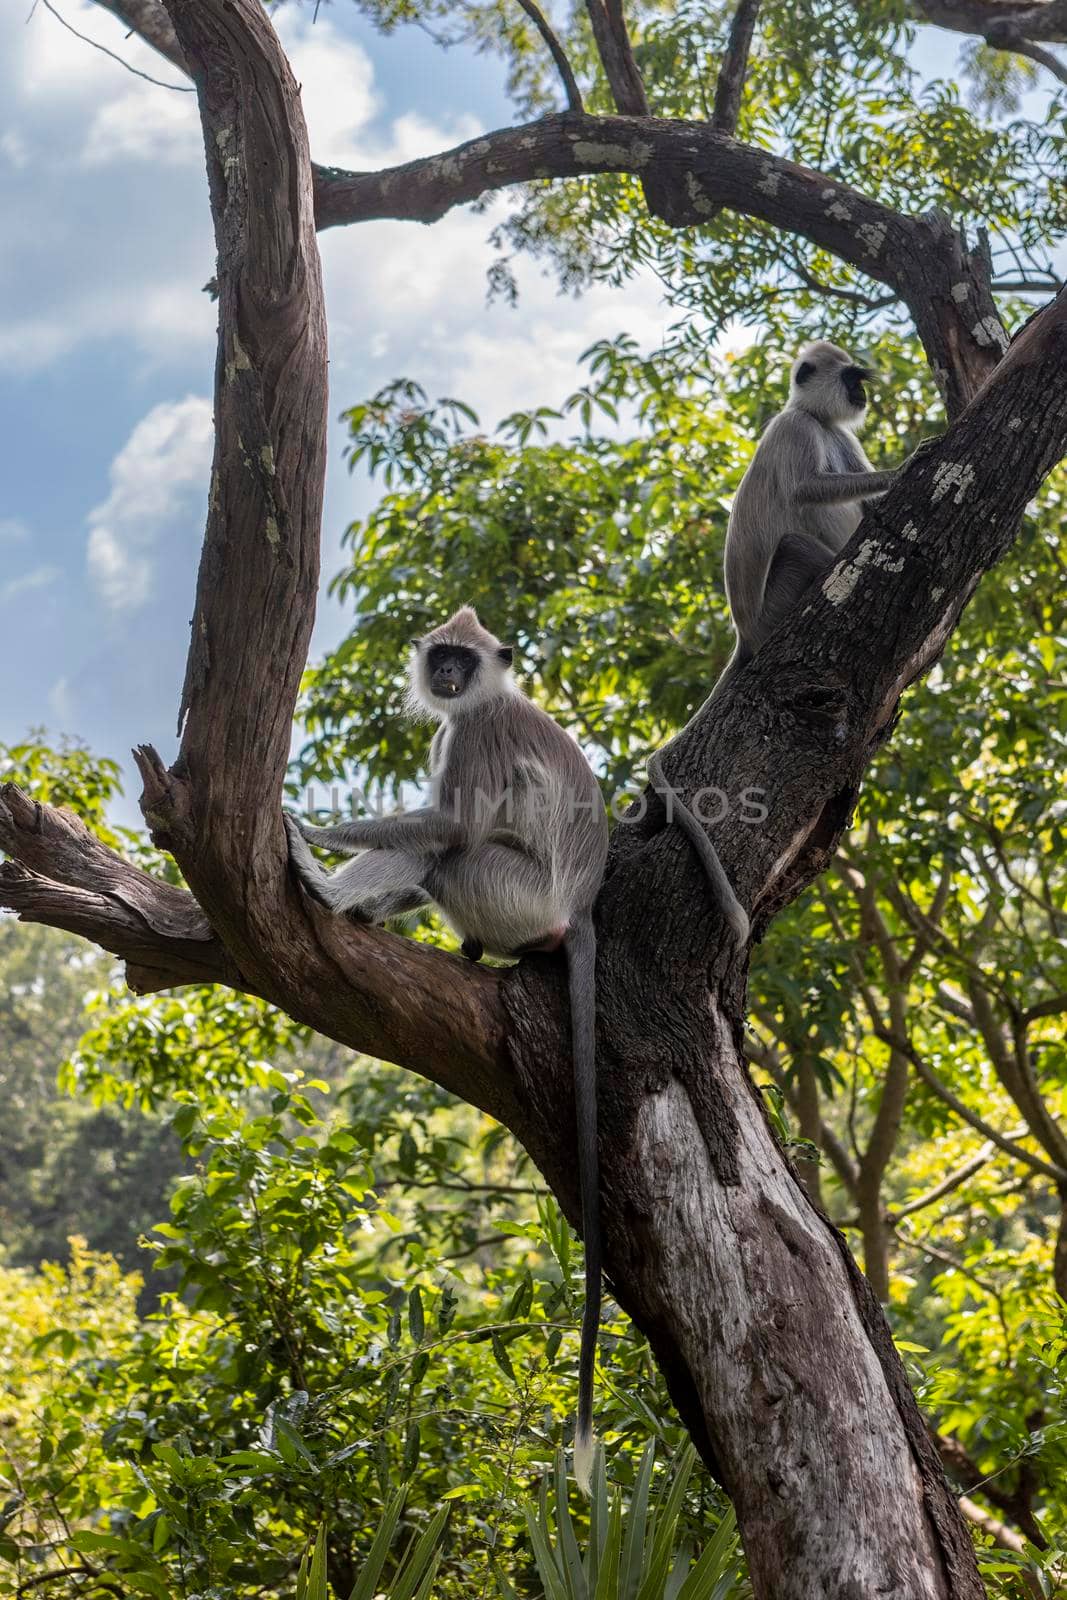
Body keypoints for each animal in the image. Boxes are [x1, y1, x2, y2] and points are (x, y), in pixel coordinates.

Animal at [283, 604, 607, 1491]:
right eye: (443, 659)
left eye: (465, 658)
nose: (451, 679)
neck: (484, 699)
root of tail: (576, 909)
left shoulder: (475, 734)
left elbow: (451, 825)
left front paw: (310, 829)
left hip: (510, 893)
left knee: (449, 851)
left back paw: (328, 893)